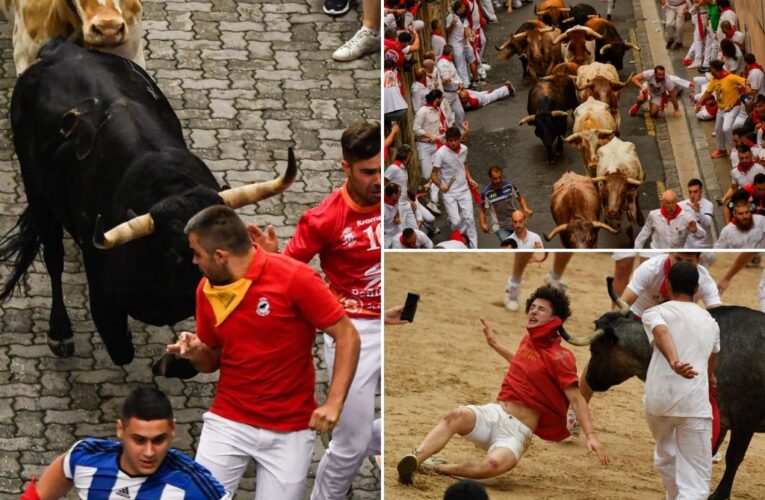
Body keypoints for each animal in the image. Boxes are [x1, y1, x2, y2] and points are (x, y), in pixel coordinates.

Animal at [0, 39, 296, 376]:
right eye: (178, 253)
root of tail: (61, 49)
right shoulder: (102, 291)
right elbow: (120, 347)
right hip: (37, 192)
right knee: (53, 257)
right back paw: (59, 332)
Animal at [560, 278, 764, 500]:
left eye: (595, 349)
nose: (589, 379)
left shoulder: (745, 420)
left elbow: (733, 457)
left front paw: (719, 494)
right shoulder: (716, 417)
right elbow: (707, 452)